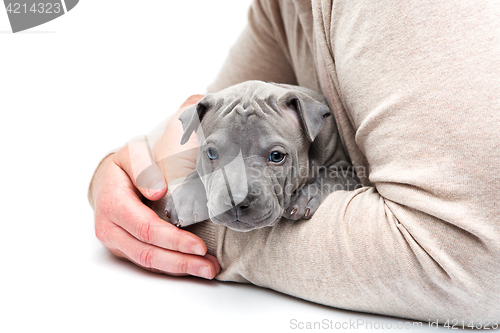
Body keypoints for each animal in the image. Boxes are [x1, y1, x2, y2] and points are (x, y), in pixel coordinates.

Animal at [165, 80, 360, 231]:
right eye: (212, 153)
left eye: (276, 156)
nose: (236, 201)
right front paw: (185, 197)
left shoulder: (349, 173)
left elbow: (331, 177)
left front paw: (306, 197)